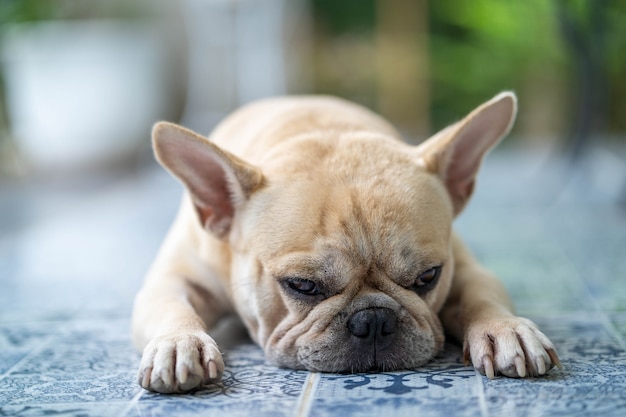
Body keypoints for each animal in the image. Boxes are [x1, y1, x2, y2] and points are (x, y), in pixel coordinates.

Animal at [132, 92, 560, 394]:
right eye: (302, 285)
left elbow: (480, 294)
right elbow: (172, 307)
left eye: (427, 277)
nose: (373, 320)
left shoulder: (465, 265)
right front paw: (179, 344)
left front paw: (506, 329)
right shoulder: (172, 280)